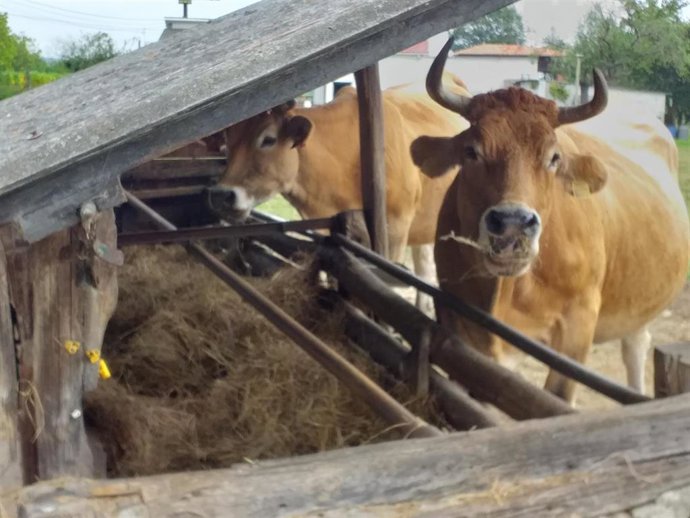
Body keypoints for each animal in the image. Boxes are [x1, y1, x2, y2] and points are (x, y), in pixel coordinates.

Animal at [410, 38, 690, 403]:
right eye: (471, 151)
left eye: (554, 157)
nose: (513, 224)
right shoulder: (453, 314)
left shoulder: (578, 323)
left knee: (635, 346)